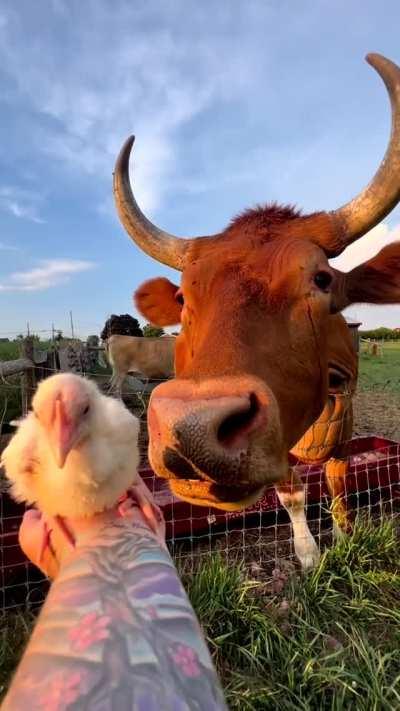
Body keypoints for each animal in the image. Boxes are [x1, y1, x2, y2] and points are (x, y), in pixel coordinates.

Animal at [113, 53, 400, 568]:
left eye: (321, 279)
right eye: (183, 298)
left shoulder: (345, 425)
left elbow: (338, 479)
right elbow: (292, 493)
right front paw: (308, 554)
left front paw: (343, 536)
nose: (189, 431)